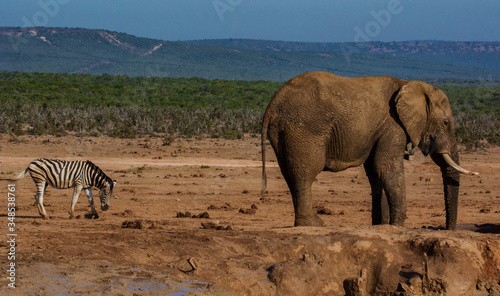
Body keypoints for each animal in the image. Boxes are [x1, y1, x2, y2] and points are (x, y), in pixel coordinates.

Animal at [262, 71, 476, 229]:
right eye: (446, 123)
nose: (447, 229)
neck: (409, 85)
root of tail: (272, 106)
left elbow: (375, 173)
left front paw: (381, 226)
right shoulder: (393, 125)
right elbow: (386, 169)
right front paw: (397, 227)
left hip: (283, 132)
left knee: (290, 174)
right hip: (305, 129)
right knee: (305, 173)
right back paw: (313, 225)